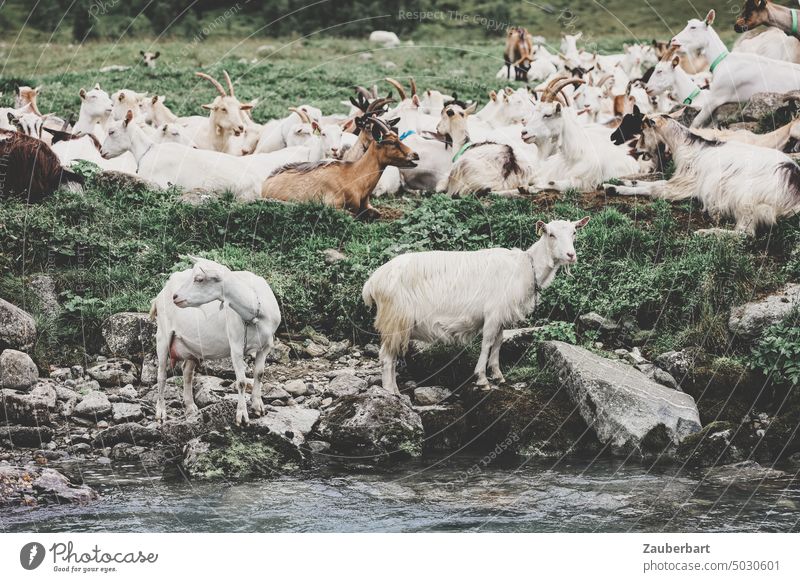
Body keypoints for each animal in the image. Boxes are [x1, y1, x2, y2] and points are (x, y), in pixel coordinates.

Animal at [150, 258, 282, 426]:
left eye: (199, 279)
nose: (175, 297)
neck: (255, 313)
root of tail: (162, 292)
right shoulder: (236, 345)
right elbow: (241, 381)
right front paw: (242, 416)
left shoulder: (266, 346)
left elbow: (259, 374)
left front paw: (258, 407)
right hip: (163, 334)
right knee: (162, 375)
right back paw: (161, 413)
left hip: (192, 345)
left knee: (187, 372)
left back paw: (190, 406)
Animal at [362, 217, 588, 394]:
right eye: (550, 234)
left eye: (575, 232)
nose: (571, 255)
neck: (526, 267)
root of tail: (372, 282)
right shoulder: (493, 312)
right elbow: (487, 342)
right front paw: (482, 378)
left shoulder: (501, 316)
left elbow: (498, 343)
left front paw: (497, 374)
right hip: (396, 318)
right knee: (386, 357)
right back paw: (391, 391)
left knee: (389, 356)